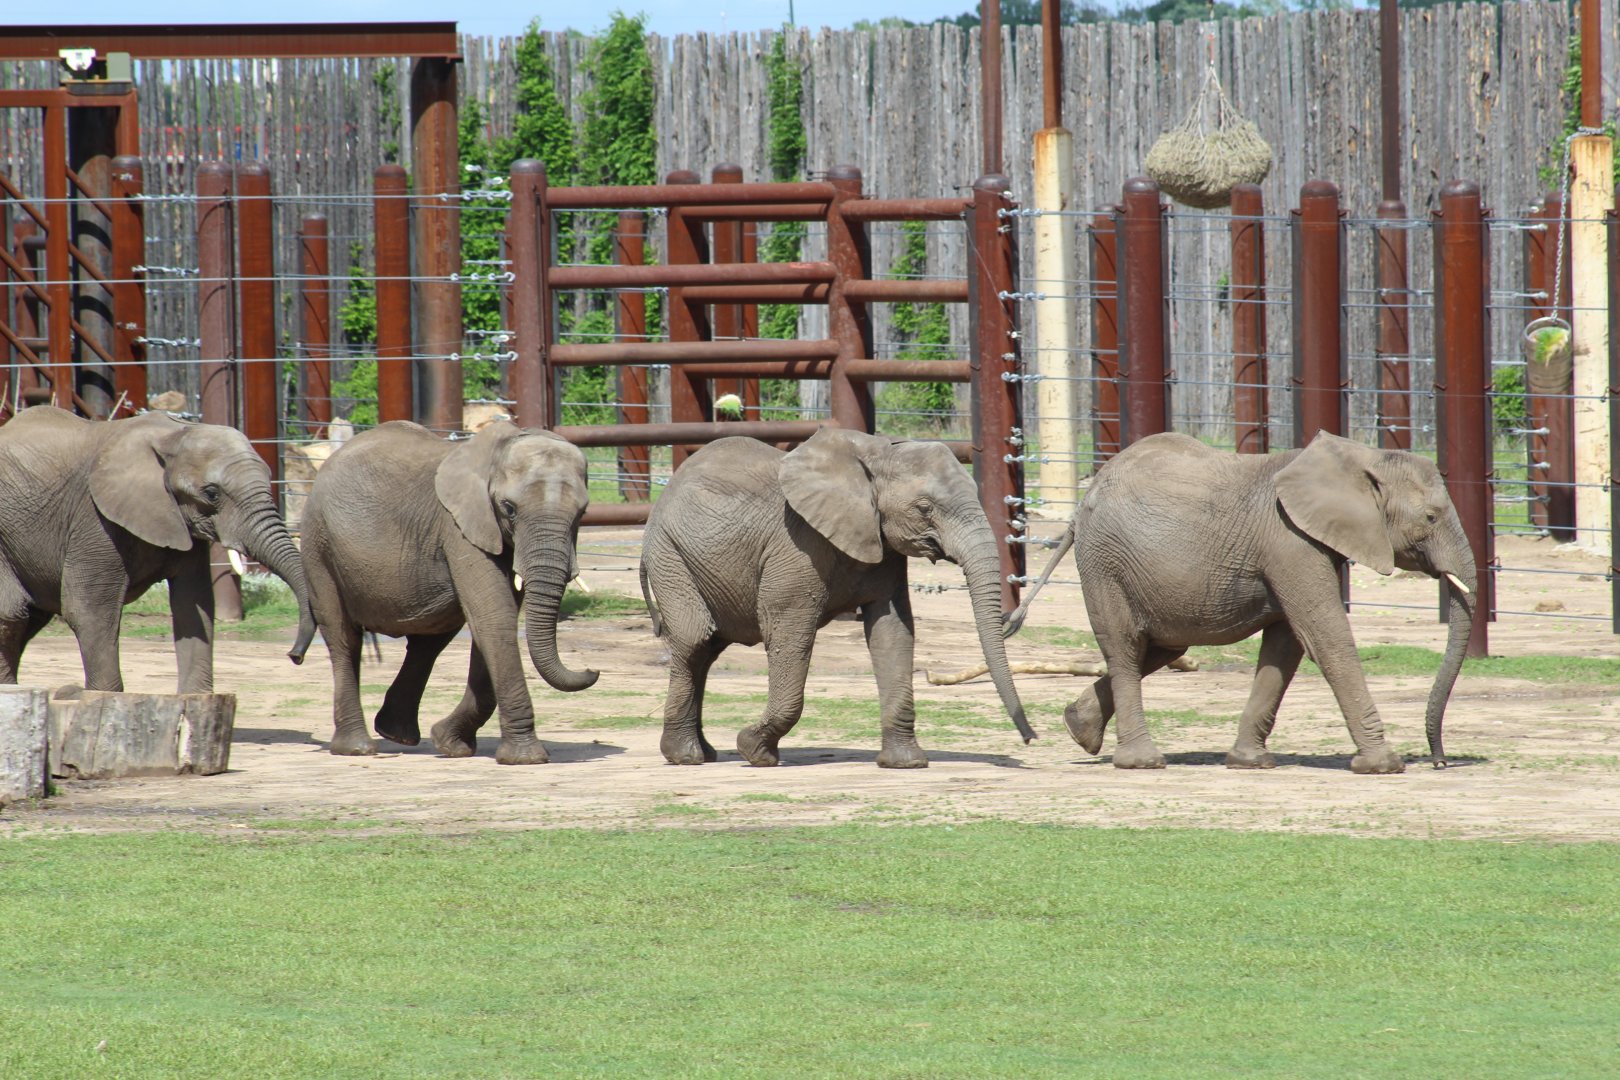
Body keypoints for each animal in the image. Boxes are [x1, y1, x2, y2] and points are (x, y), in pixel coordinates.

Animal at [0, 405, 315, 693]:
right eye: (211, 494)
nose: (294, 656)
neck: (174, 434)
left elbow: (194, 608)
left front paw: (196, 702)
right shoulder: (93, 518)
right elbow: (88, 610)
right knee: (13, 614)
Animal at [297, 420, 598, 763]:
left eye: (582, 513)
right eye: (509, 508)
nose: (592, 669)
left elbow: (491, 622)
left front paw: (450, 744)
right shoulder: (460, 529)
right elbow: (494, 617)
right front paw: (526, 758)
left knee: (430, 639)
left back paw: (396, 734)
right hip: (318, 542)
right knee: (342, 636)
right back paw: (358, 748)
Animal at [638, 428, 1036, 769]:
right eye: (925, 508)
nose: (1031, 738)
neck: (878, 454)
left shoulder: (882, 542)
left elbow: (892, 631)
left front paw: (906, 763)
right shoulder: (796, 543)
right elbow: (788, 630)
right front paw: (754, 750)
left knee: (707, 649)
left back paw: (703, 753)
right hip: (670, 555)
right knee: (695, 638)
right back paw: (685, 756)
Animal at [1005, 431, 1477, 774]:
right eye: (1431, 517)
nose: (1439, 762)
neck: (1362, 457)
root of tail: (1083, 502)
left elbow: (1285, 647)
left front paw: (1251, 763)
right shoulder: (1291, 541)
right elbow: (1324, 637)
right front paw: (1384, 766)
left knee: (1160, 648)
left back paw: (1079, 728)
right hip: (1105, 564)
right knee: (1125, 647)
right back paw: (1142, 762)